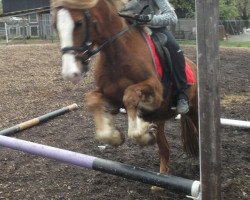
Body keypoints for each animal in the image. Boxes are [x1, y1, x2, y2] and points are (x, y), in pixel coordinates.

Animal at [51, 0, 199, 183]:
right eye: (55, 26)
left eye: (78, 23)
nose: (70, 73)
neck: (117, 52)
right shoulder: (110, 96)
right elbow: (93, 100)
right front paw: (118, 137)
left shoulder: (156, 91)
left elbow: (130, 96)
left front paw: (142, 131)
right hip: (161, 118)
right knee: (164, 148)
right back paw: (160, 179)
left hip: (194, 110)